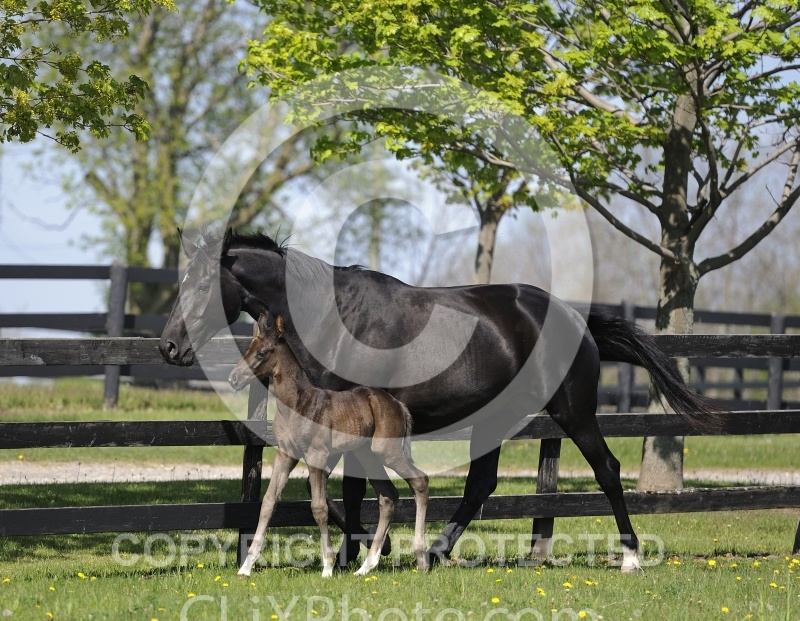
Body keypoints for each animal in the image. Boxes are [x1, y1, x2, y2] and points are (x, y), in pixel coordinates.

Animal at [229, 313, 429, 577]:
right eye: (249, 349)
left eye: (262, 353)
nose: (233, 379)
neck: (297, 404)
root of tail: (397, 404)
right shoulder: (286, 454)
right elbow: (269, 503)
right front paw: (246, 566)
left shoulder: (317, 455)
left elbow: (319, 507)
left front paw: (327, 566)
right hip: (367, 455)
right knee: (388, 497)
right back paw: (366, 566)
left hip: (387, 451)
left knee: (420, 481)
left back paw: (421, 558)